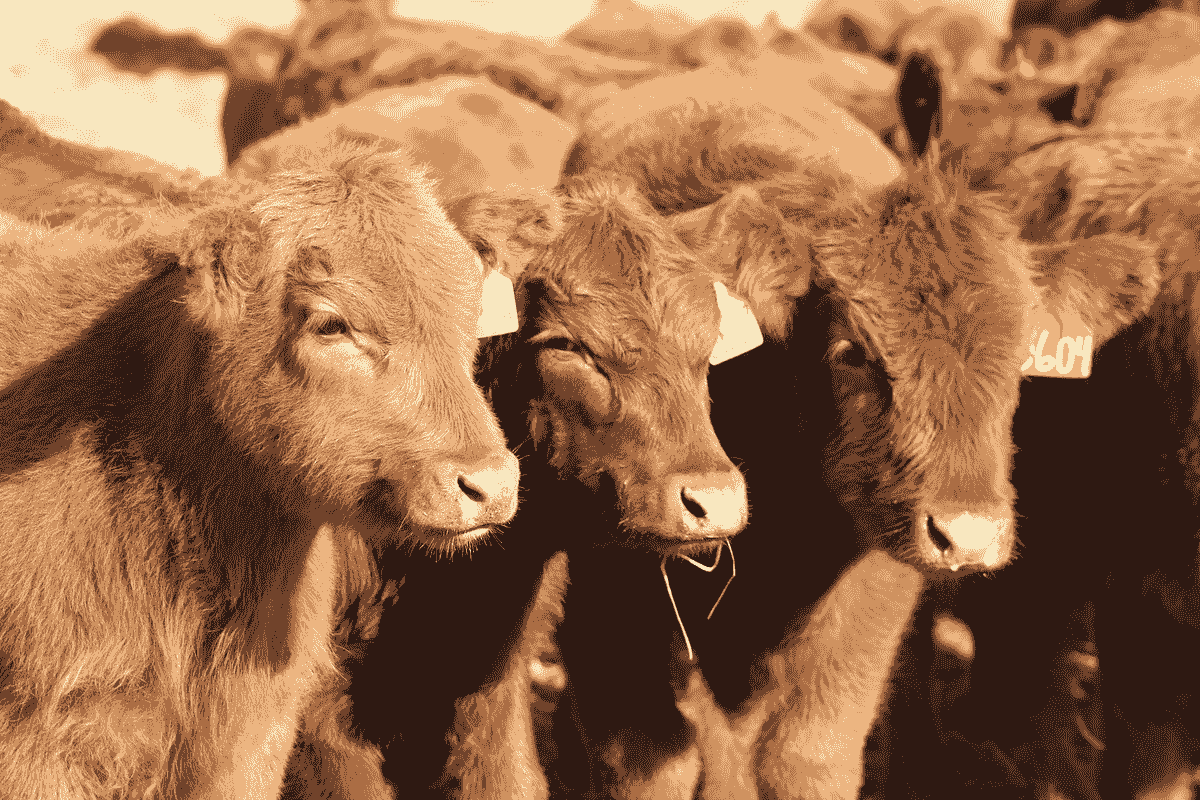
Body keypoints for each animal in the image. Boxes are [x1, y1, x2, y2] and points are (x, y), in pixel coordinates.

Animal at [536, 50, 1163, 800]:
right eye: (854, 352)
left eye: (1020, 361)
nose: (968, 533)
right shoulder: (612, 584)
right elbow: (652, 755)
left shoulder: (876, 571)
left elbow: (810, 750)